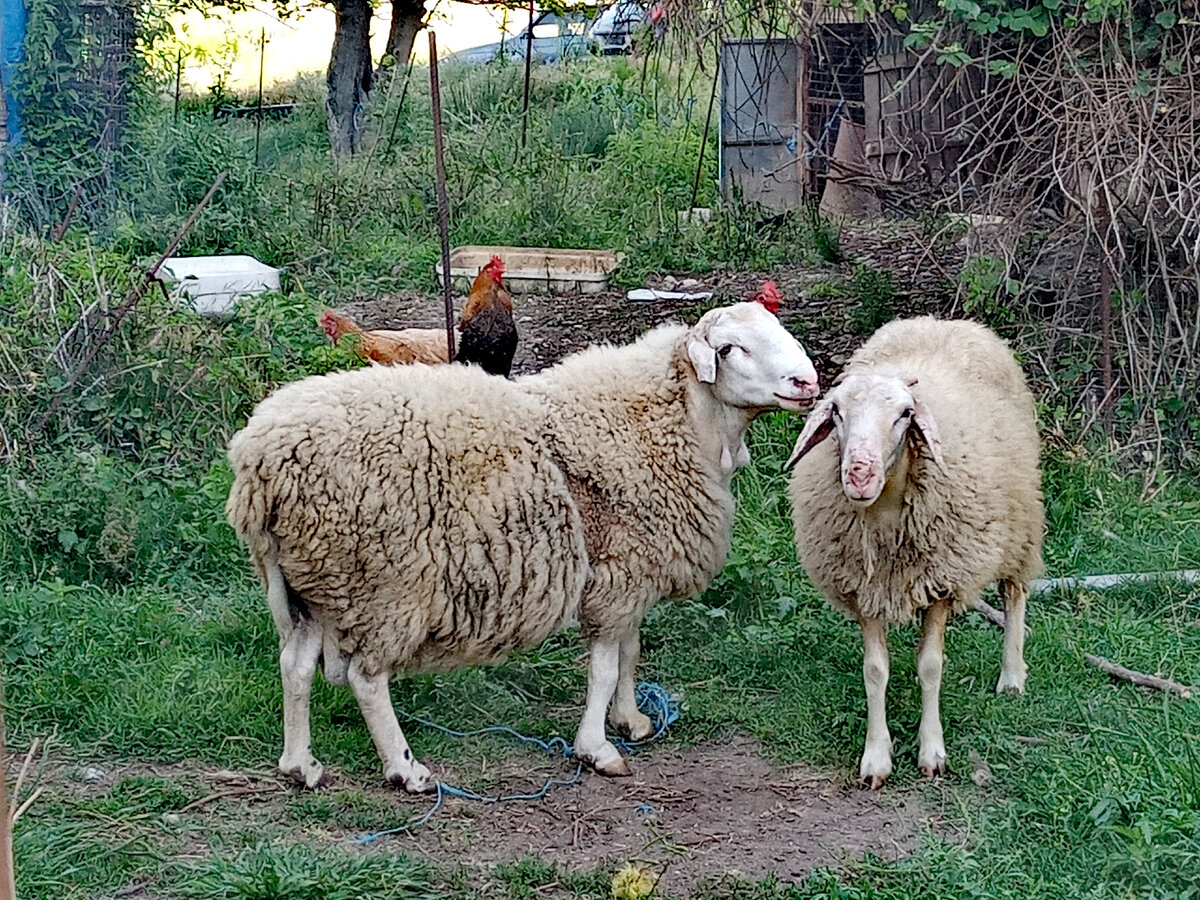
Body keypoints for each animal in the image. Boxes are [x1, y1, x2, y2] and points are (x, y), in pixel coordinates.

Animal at [225, 303, 820, 787]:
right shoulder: (618, 577)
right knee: (366, 678)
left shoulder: (629, 572)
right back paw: (405, 769)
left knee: (296, 665)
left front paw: (630, 720)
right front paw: (596, 748)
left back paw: (300, 766)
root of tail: (259, 460)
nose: (806, 381)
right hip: (384, 583)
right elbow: (606, 667)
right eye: (729, 349)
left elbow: (630, 651)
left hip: (317, 578)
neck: (672, 422)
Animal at [787, 316, 1041, 787]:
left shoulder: (942, 581)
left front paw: (932, 752)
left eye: (905, 415)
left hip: (1021, 520)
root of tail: (946, 321)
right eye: (837, 411)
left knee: (1014, 592)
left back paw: (1012, 675)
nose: (859, 474)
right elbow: (874, 671)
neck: (885, 515)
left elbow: (930, 666)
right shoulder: (864, 587)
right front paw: (876, 756)